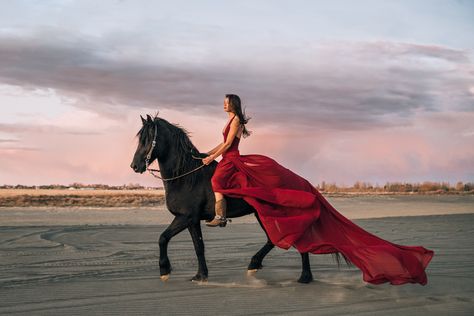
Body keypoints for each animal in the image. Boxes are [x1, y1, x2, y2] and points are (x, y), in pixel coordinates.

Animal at [130, 114, 348, 284]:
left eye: (148, 139)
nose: (135, 166)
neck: (186, 176)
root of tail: (298, 180)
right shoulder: (192, 220)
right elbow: (198, 246)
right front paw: (201, 275)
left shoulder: (185, 217)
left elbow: (163, 238)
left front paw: (165, 271)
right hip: (263, 214)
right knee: (275, 239)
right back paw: (259, 265)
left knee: (295, 240)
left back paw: (303, 276)